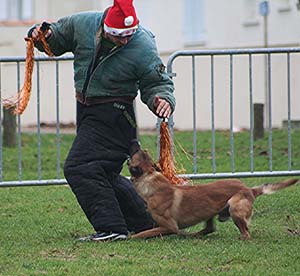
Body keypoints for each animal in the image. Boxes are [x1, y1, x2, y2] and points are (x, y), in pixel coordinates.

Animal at [127, 149, 298, 239]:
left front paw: (129, 237)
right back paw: (194, 235)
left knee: (246, 233)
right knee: (210, 228)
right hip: (213, 211)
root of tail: (250, 189)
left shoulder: (168, 226)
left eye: (136, 156)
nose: (138, 147)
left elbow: (143, 233)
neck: (151, 179)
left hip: (235, 209)